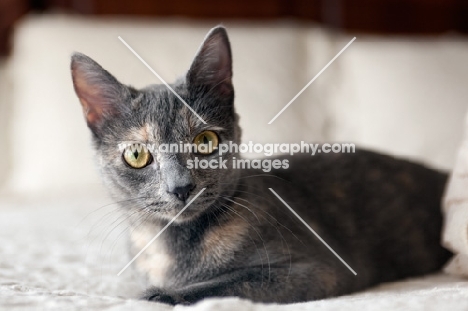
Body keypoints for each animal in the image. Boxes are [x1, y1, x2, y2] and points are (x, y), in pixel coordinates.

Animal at [71, 26, 452, 304]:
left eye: (205, 141)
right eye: (137, 155)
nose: (180, 187)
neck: (173, 246)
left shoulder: (315, 270)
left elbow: (227, 283)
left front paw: (159, 295)